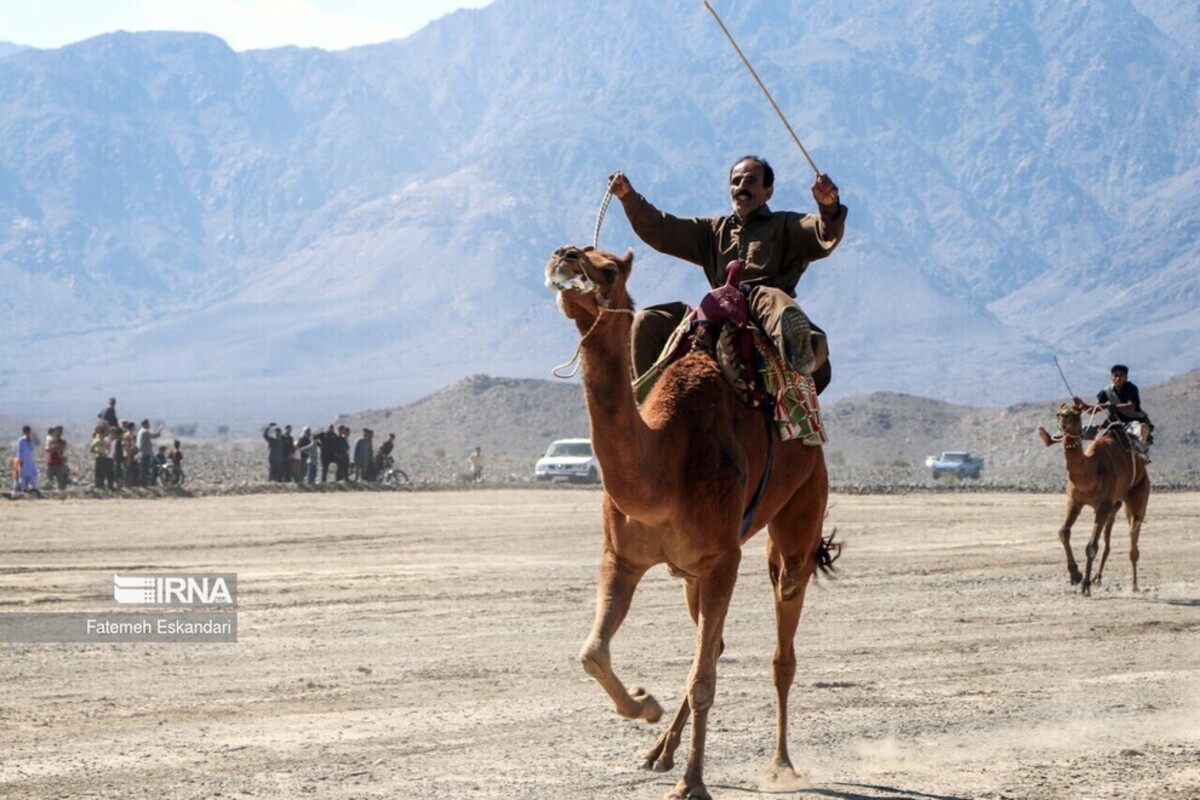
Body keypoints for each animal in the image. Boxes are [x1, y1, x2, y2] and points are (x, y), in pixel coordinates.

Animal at [547, 245, 835, 800]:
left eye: (608, 266)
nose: (563, 255)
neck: (664, 459)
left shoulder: (724, 557)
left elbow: (703, 680)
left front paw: (694, 783)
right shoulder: (622, 557)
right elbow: (592, 653)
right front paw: (644, 704)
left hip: (803, 509)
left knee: (781, 644)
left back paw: (781, 762)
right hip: (689, 576)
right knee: (715, 644)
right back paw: (660, 751)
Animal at [1036, 400, 1147, 594]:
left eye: (1076, 414)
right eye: (1059, 413)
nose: (1063, 420)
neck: (1089, 471)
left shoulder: (1102, 505)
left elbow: (1091, 546)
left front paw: (1084, 585)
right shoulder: (1074, 501)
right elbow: (1063, 532)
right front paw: (1076, 575)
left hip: (1138, 493)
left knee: (1134, 532)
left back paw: (1134, 585)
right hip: (1115, 505)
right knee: (1107, 542)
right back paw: (1098, 578)